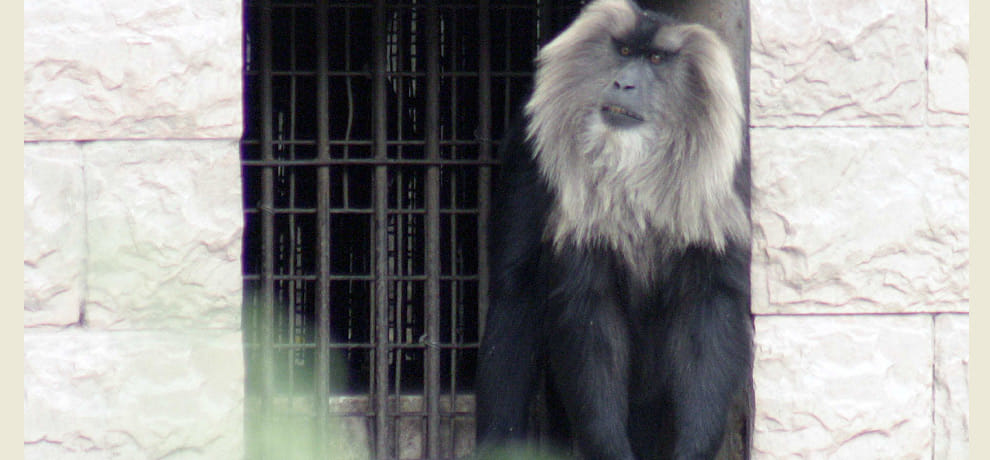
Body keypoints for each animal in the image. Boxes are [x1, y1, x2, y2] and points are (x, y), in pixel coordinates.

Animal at [474, 1, 752, 459]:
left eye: (656, 59)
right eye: (622, 52)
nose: (624, 83)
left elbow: (709, 308)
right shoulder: (531, 157)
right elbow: (587, 312)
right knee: (514, 304)